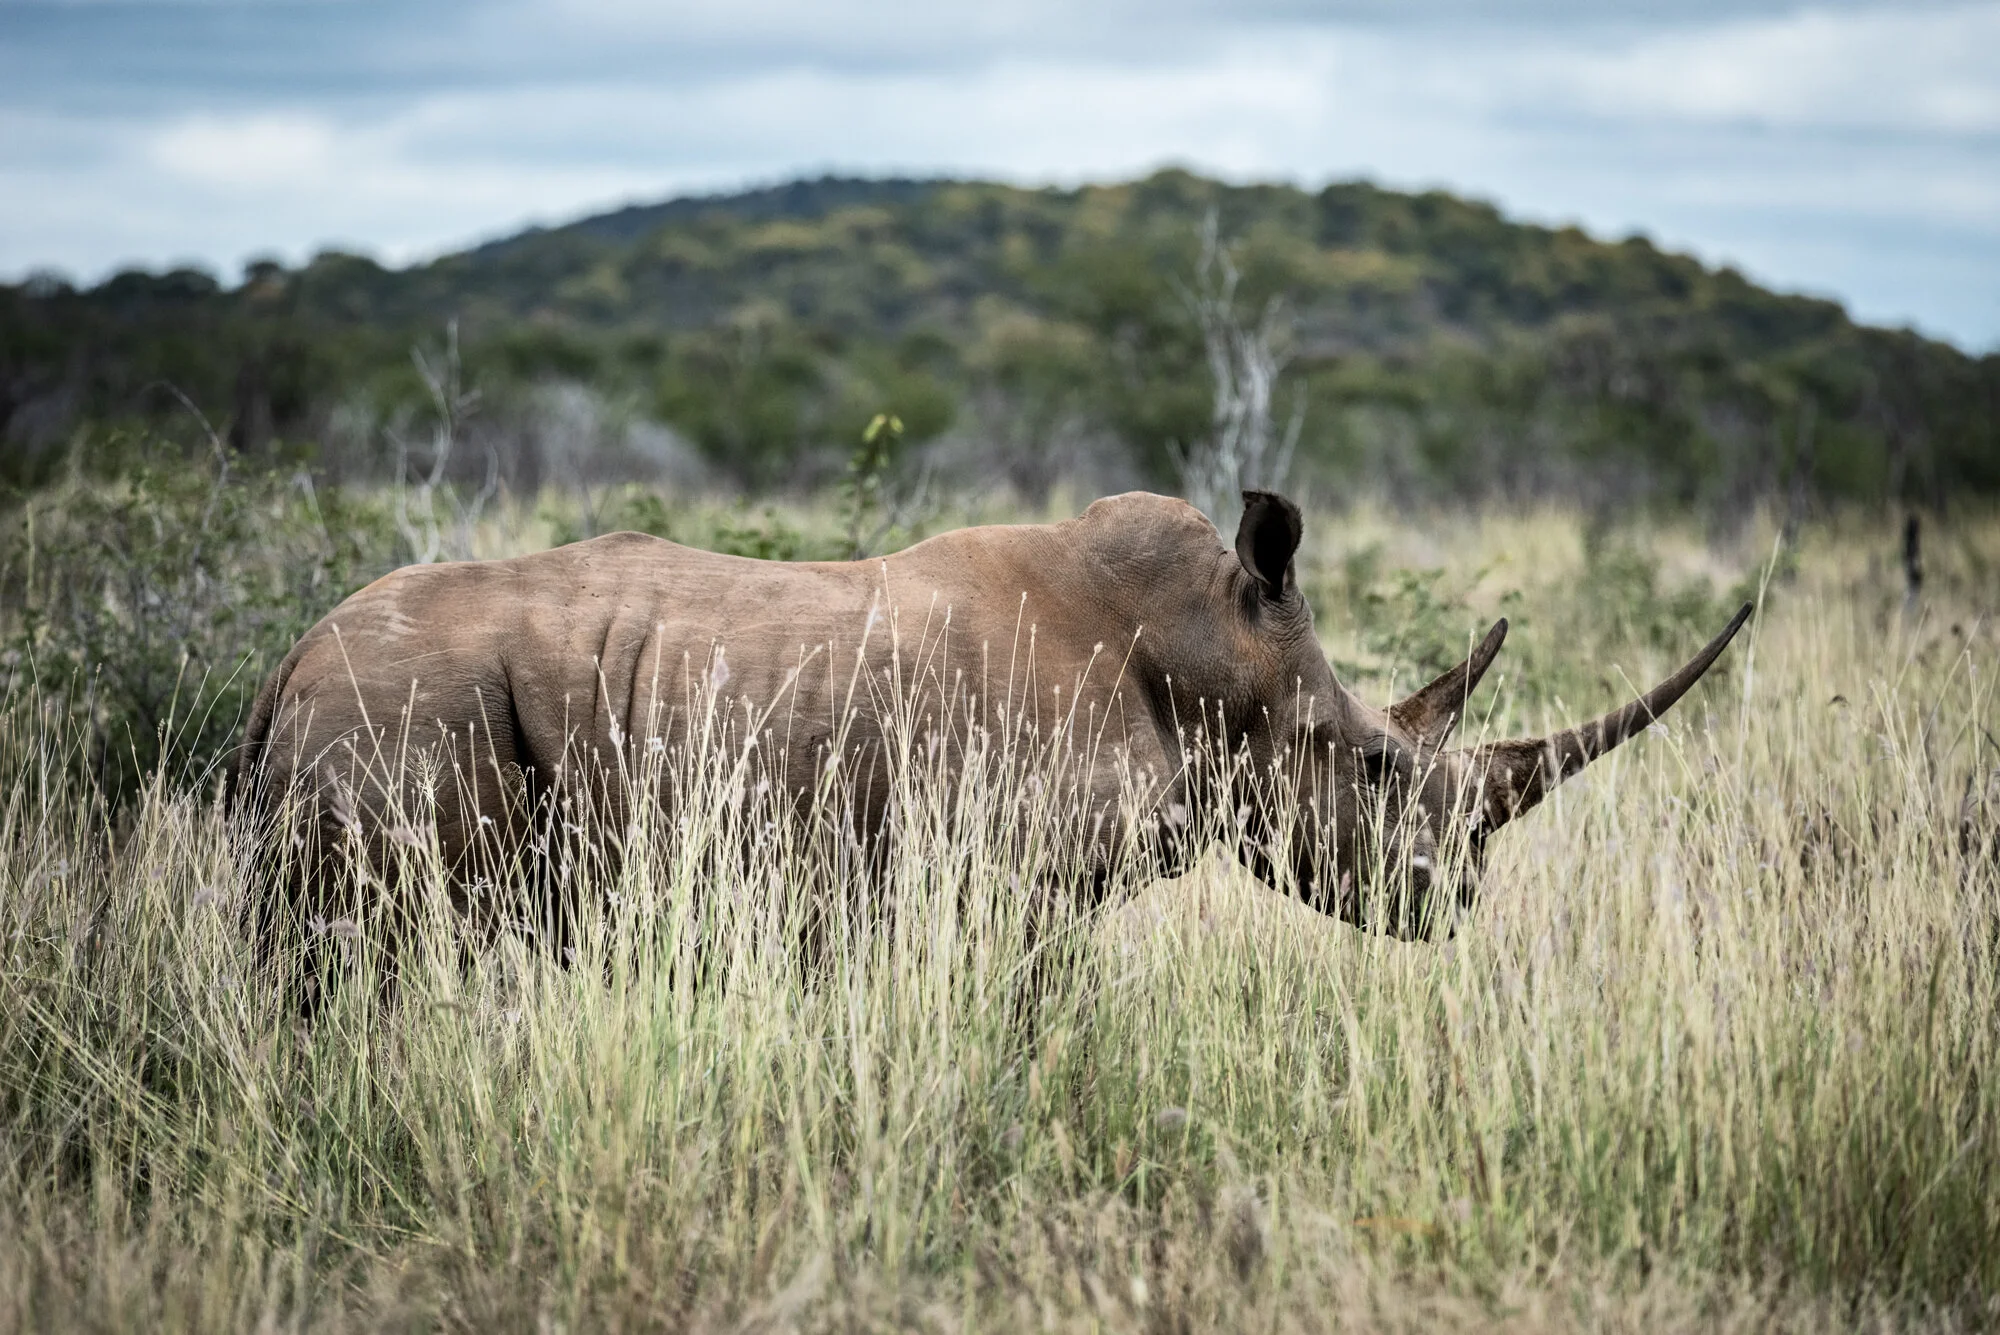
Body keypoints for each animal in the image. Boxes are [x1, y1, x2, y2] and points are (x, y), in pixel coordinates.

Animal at [235, 490, 1749, 954]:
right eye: (1379, 768)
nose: (1458, 904)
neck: (1219, 649)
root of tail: (287, 658)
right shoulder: (998, 879)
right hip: (397, 705)